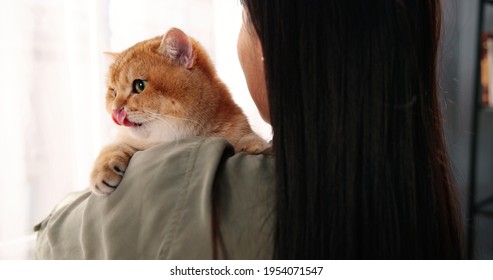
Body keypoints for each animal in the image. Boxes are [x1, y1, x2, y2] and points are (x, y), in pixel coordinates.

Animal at [92, 27, 270, 195]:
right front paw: (103, 169)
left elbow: (246, 137)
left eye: (139, 85)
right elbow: (115, 145)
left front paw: (254, 145)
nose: (115, 110)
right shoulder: (129, 140)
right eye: (113, 92)